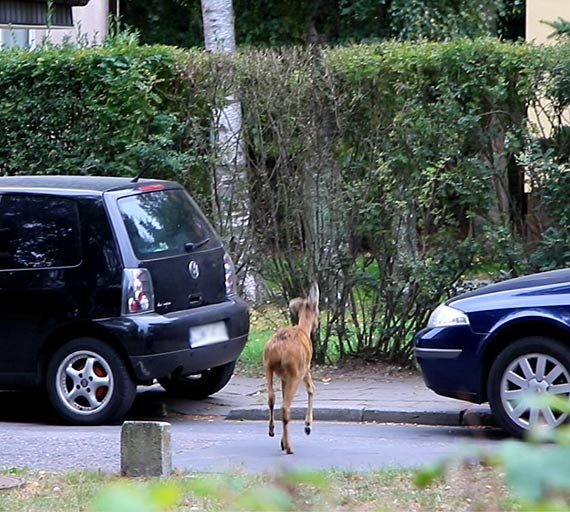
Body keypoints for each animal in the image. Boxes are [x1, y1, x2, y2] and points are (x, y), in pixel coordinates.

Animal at [262, 282, 320, 454]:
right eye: (318, 310)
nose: (317, 325)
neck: (303, 328)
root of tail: (278, 349)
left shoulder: (283, 376)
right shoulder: (305, 368)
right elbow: (311, 388)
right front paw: (308, 426)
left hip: (267, 365)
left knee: (272, 398)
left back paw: (272, 432)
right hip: (294, 371)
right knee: (285, 407)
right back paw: (289, 447)